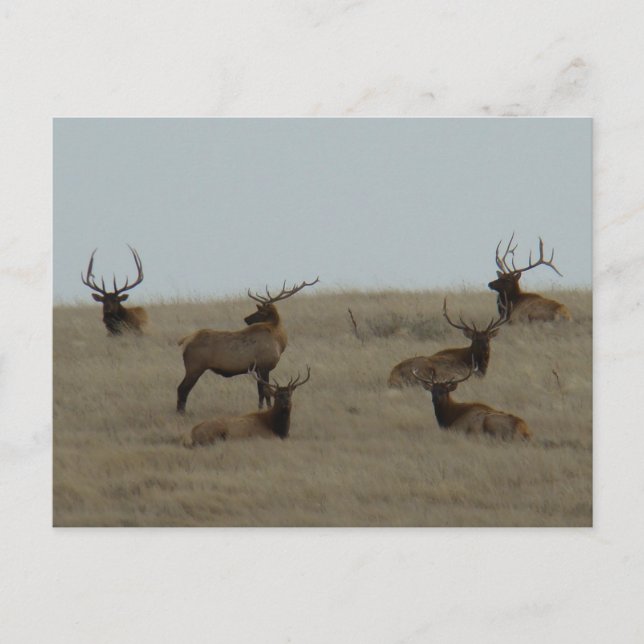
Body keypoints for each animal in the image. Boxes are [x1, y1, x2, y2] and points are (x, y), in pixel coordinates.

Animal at [176, 277, 319, 413]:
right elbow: (266, 392)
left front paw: (260, 408)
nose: (246, 319)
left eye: (260, 312)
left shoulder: (258, 369)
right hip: (195, 367)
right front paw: (267, 409)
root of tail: (185, 340)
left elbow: (261, 392)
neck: (279, 340)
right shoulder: (264, 365)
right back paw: (181, 412)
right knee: (182, 388)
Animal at [182, 366, 311, 447]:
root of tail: (193, 432)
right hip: (216, 431)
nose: (286, 403)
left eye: (289, 394)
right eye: (277, 396)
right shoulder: (266, 436)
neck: (279, 429)